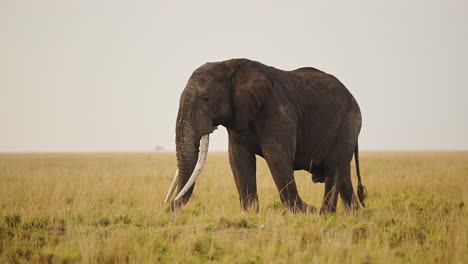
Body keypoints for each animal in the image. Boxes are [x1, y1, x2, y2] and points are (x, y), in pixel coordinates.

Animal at [165, 58, 366, 214]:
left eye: (206, 99)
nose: (167, 208)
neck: (228, 65)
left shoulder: (278, 112)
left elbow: (277, 158)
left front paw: (308, 212)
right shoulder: (237, 118)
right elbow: (238, 160)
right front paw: (250, 213)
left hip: (348, 122)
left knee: (335, 168)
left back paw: (325, 213)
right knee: (343, 175)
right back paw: (351, 214)